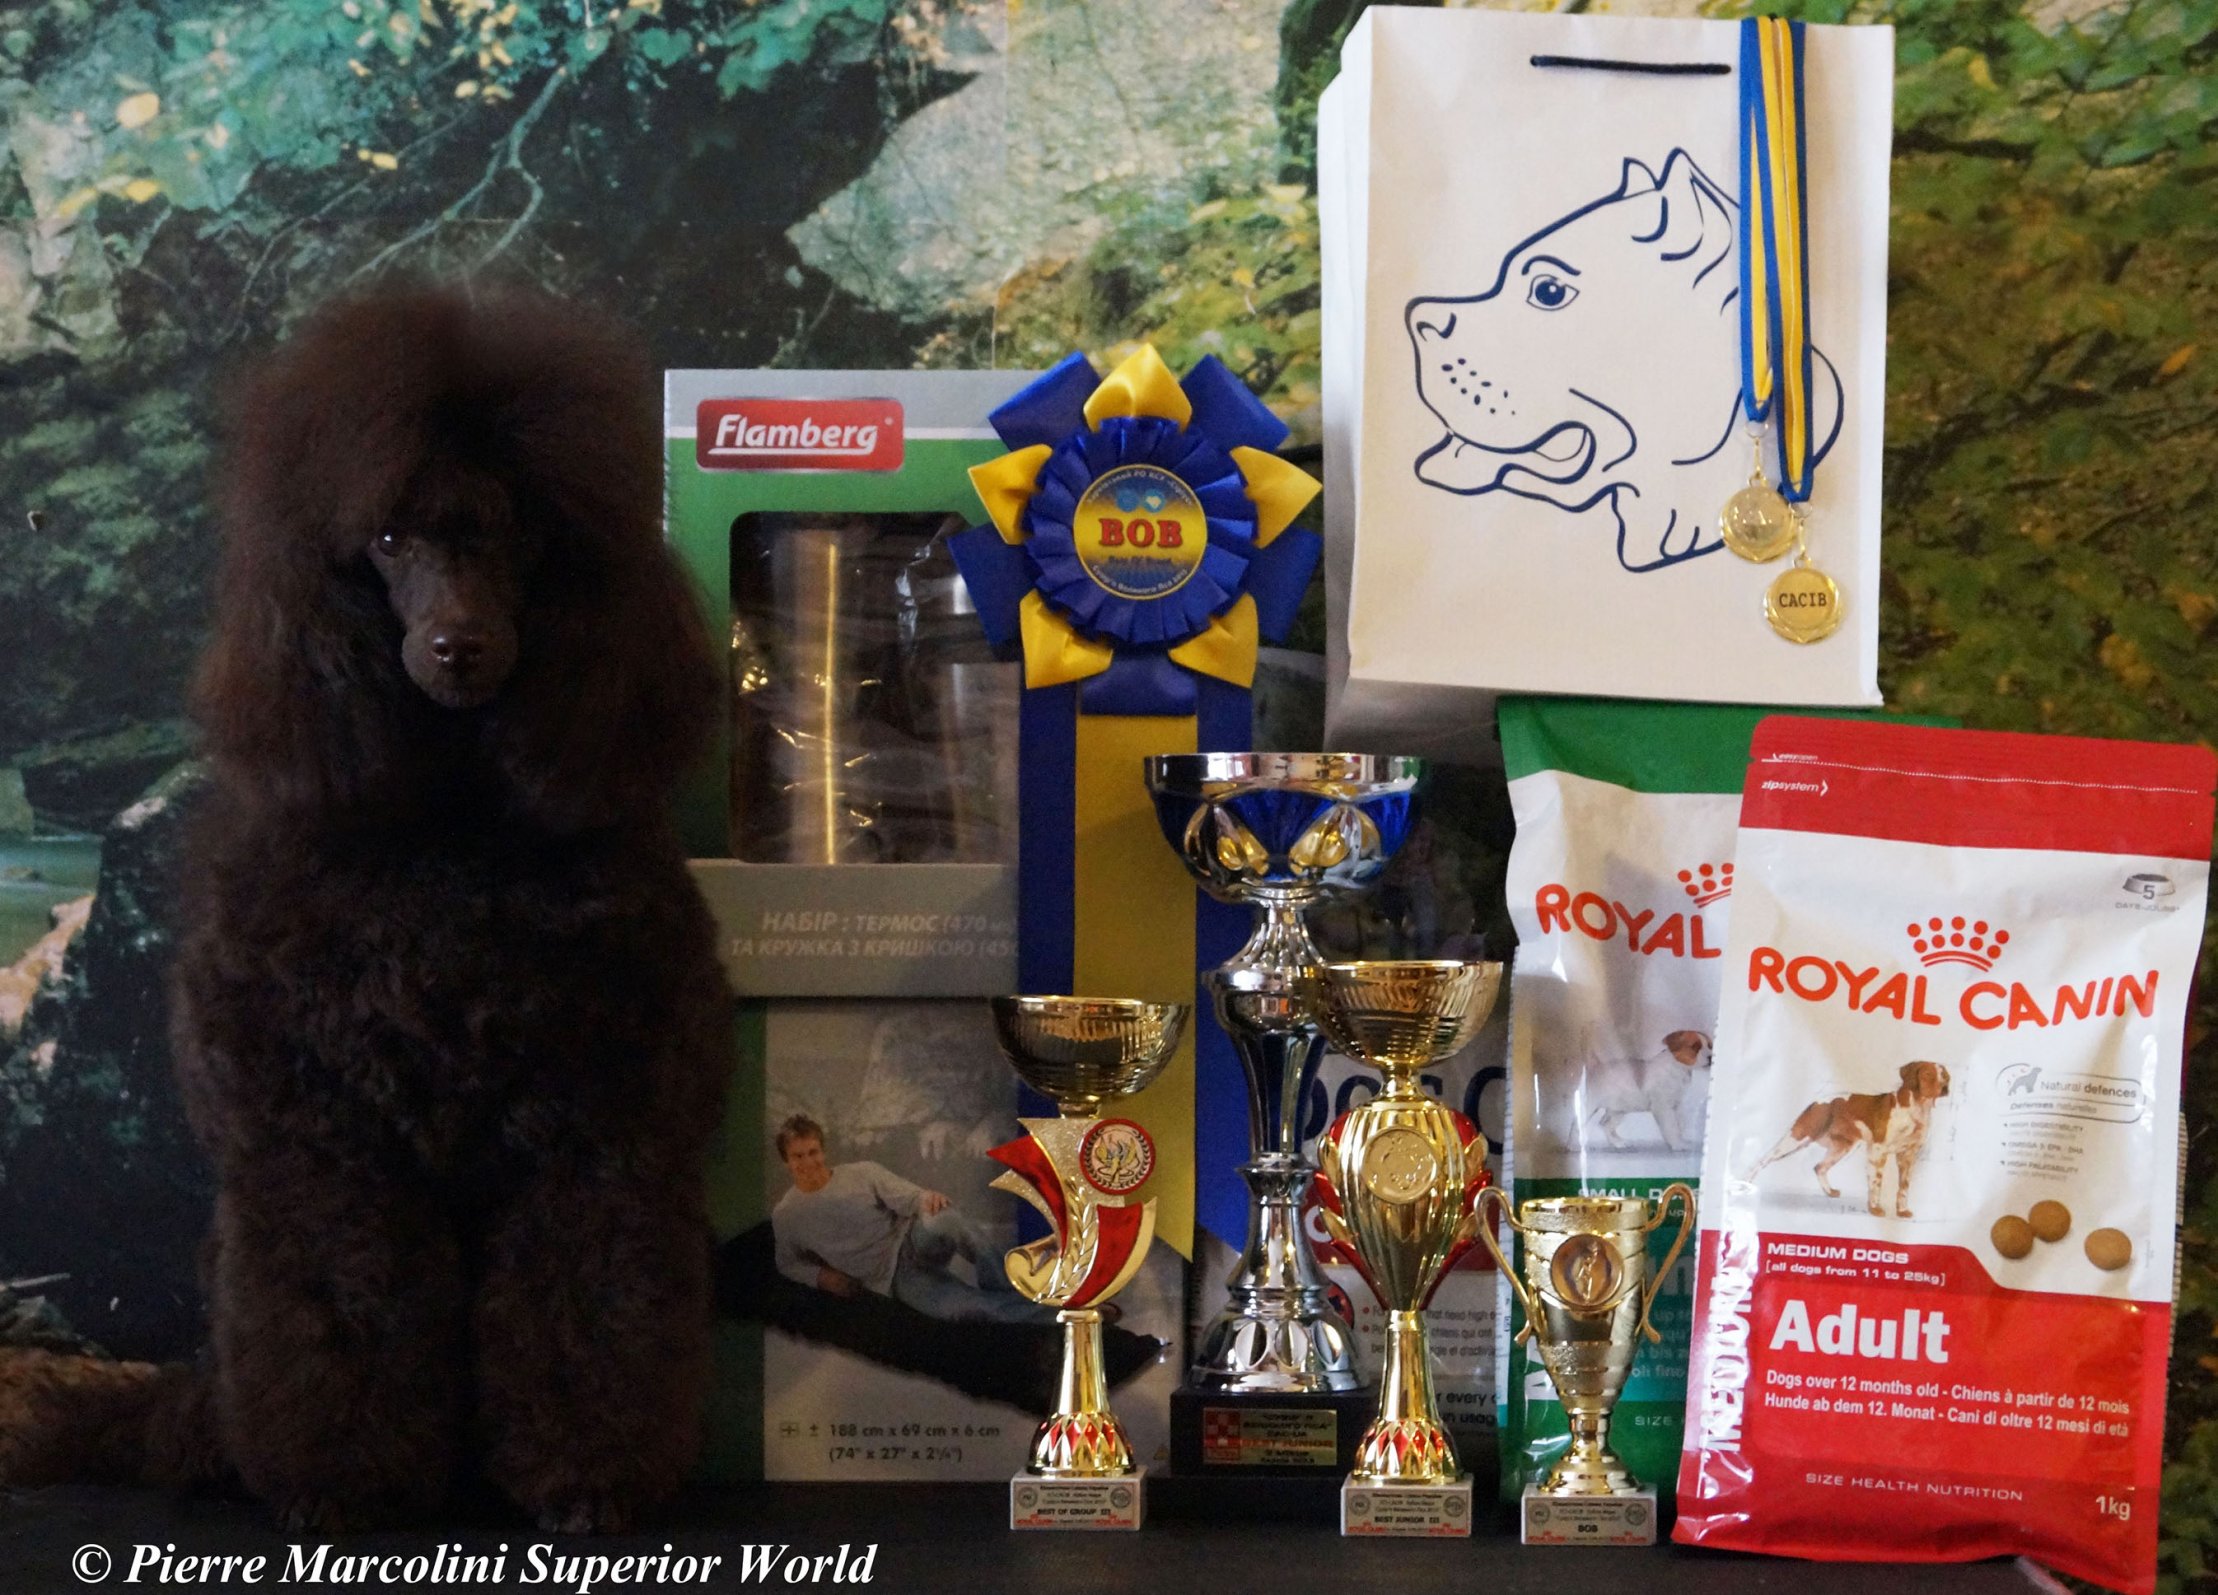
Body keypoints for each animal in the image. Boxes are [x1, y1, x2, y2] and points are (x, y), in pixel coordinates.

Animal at [0, 287, 731, 1535]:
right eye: (388, 542)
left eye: (520, 533)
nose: (459, 646)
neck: (447, 834)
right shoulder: (319, 1136)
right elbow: (343, 1302)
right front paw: (345, 1484)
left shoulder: (600, 1127)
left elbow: (588, 1300)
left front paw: (585, 1479)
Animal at [1566, 1029, 1712, 1153]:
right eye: (1695, 1046)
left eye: (1710, 1045)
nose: (1711, 1057)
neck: (1677, 1068)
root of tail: (1596, 1066)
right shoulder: (1663, 1108)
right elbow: (1672, 1127)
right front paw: (1678, 1144)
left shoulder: (1676, 1106)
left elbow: (1680, 1125)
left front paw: (1680, 1141)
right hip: (1591, 1105)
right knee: (1576, 1124)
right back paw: (1573, 1146)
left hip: (1618, 1110)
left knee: (1605, 1124)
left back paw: (1618, 1143)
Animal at [1746, 1062, 1952, 1219]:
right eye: (1927, 1073)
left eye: (1944, 1075)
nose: (1945, 1087)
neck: (1915, 1110)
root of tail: (1816, 1102)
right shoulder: (1878, 1152)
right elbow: (1876, 1183)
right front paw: (1875, 1209)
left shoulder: (1907, 1156)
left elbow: (1903, 1187)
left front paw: (1902, 1211)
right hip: (1798, 1137)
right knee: (1761, 1160)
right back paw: (1746, 1183)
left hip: (1843, 1147)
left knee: (1819, 1167)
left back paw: (1829, 1192)